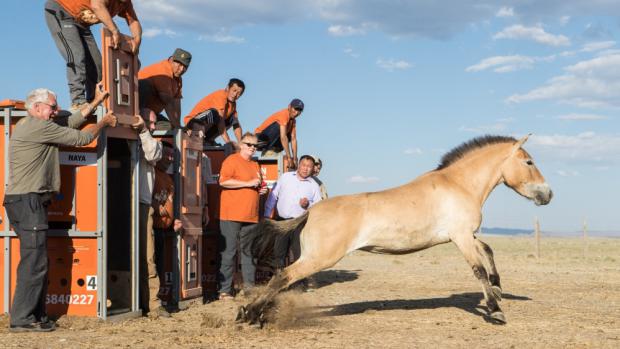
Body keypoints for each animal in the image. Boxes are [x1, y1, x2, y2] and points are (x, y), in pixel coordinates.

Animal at [236, 133, 552, 324]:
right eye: (529, 161)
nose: (547, 194)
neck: (458, 185)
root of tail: (311, 210)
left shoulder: (464, 236)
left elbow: (488, 250)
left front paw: (497, 290)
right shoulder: (461, 237)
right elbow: (478, 270)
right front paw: (496, 311)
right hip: (319, 258)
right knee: (282, 276)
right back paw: (249, 314)